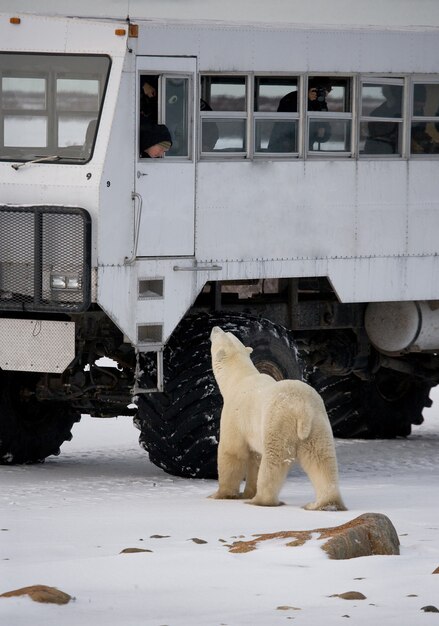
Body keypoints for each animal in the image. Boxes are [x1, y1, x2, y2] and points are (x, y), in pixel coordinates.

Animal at [210, 324, 348, 510]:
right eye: (229, 333)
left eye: (223, 334)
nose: (215, 327)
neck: (239, 378)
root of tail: (301, 407)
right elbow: (255, 457)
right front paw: (248, 492)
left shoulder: (235, 415)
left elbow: (232, 452)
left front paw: (221, 494)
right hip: (318, 423)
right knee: (322, 460)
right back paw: (326, 504)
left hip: (278, 421)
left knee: (273, 462)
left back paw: (260, 500)